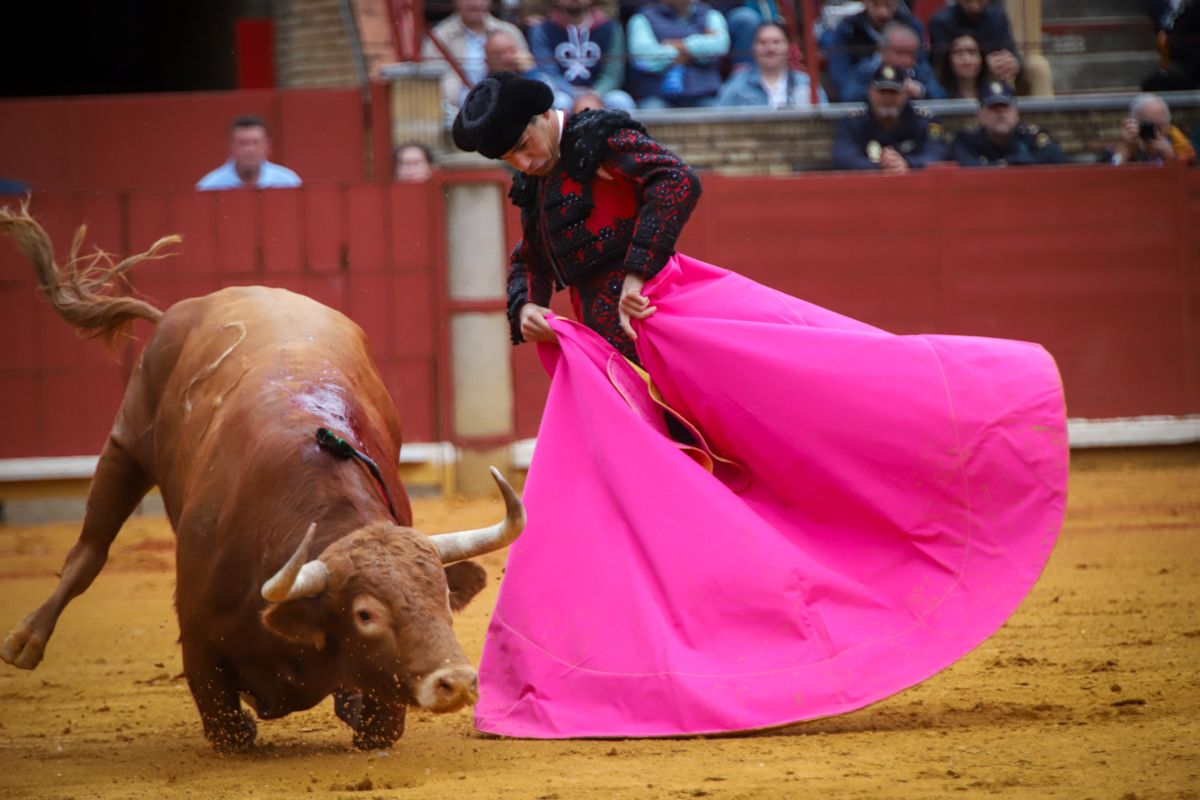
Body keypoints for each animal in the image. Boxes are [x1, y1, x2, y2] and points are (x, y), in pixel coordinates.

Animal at [0, 205, 525, 753]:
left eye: (442, 597)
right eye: (365, 614)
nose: (455, 682)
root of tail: (185, 310)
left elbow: (375, 721)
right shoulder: (198, 640)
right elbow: (228, 727)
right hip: (124, 443)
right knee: (89, 552)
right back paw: (24, 641)